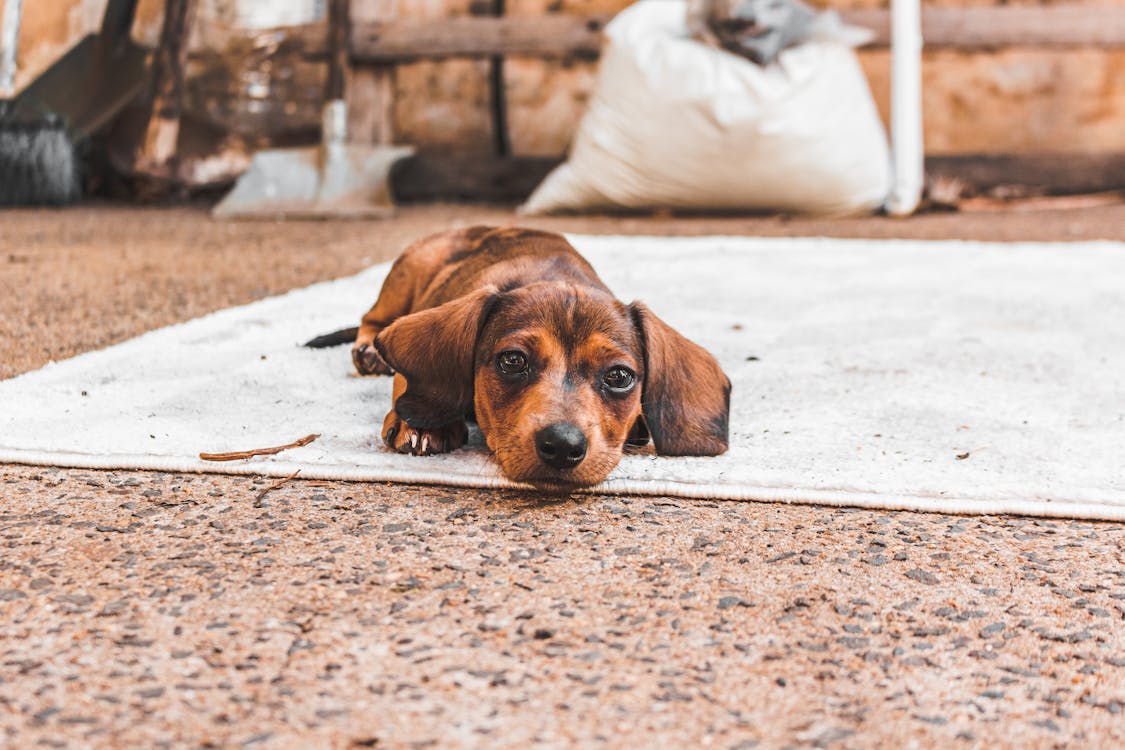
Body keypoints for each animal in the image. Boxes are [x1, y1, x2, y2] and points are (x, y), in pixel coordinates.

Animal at [328, 226, 729, 490]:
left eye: (619, 376)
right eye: (513, 361)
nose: (563, 446)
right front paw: (423, 424)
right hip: (409, 271)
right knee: (371, 318)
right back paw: (368, 351)